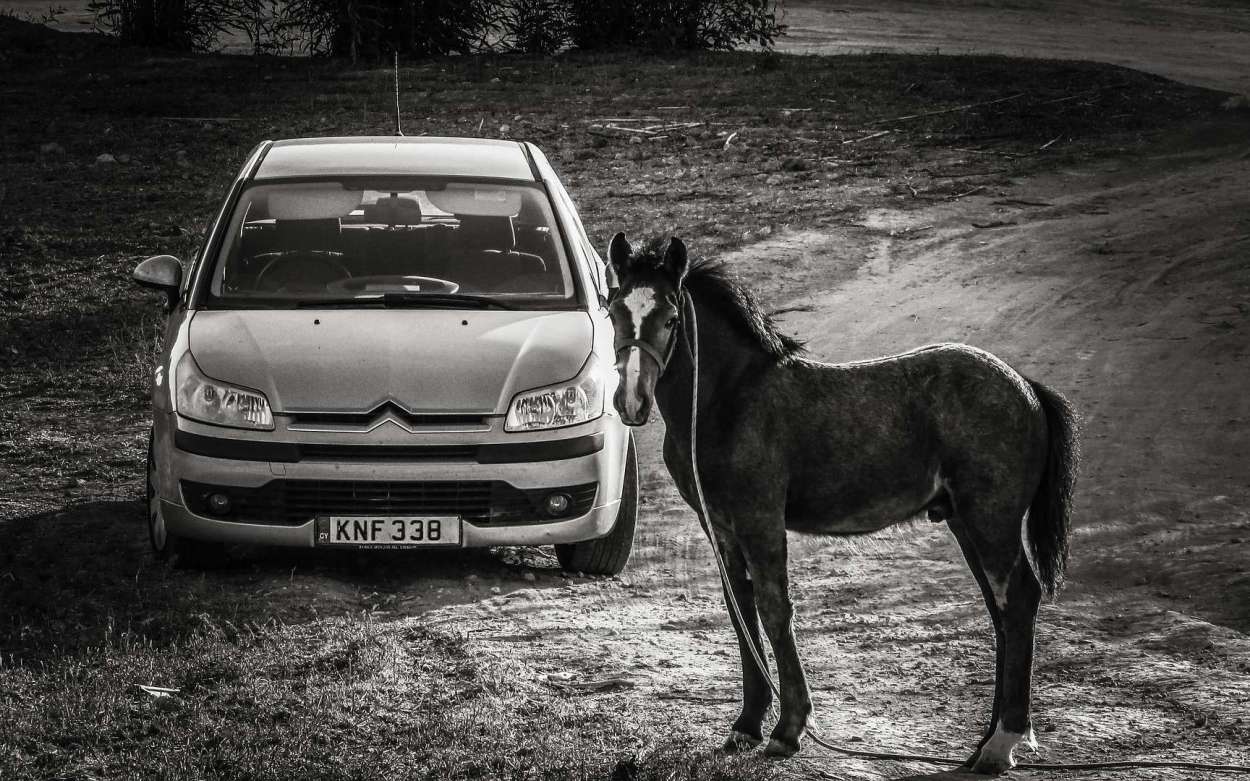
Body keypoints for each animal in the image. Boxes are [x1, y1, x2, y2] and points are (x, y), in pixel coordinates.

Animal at [602, 231, 1075, 774]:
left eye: (671, 318)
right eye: (614, 311)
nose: (631, 402)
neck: (730, 401)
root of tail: (1026, 388)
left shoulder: (760, 519)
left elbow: (773, 609)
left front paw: (788, 730)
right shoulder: (719, 526)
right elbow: (740, 611)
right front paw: (746, 726)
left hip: (992, 520)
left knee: (1016, 601)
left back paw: (1001, 743)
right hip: (965, 522)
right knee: (1001, 611)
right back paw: (984, 744)